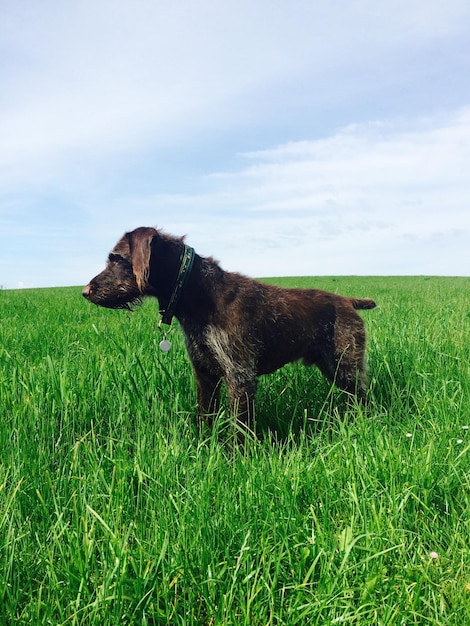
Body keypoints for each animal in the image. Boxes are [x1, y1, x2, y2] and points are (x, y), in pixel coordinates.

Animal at [82, 227, 376, 436]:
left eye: (117, 259)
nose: (85, 292)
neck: (197, 294)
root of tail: (347, 301)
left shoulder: (240, 375)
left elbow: (239, 428)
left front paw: (236, 461)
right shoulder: (204, 373)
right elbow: (206, 417)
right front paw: (204, 449)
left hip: (345, 367)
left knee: (363, 398)